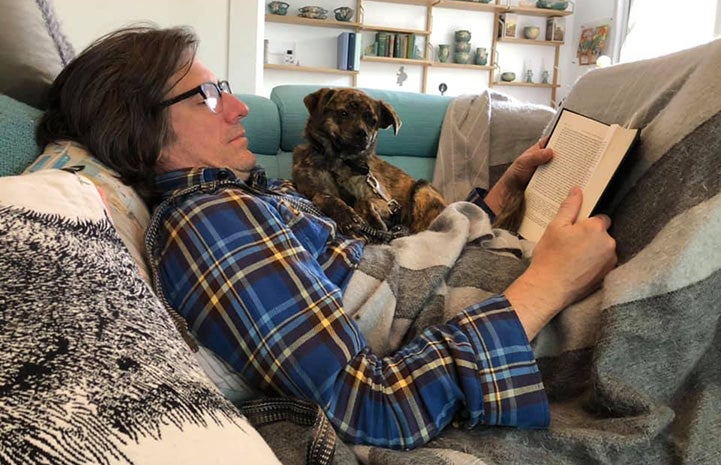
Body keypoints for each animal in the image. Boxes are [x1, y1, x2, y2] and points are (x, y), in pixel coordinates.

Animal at [292, 86, 448, 243]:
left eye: (373, 121)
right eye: (343, 113)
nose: (363, 134)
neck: (341, 161)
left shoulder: (384, 201)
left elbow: (364, 201)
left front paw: (374, 224)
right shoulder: (315, 190)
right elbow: (325, 197)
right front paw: (346, 216)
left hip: (423, 188)